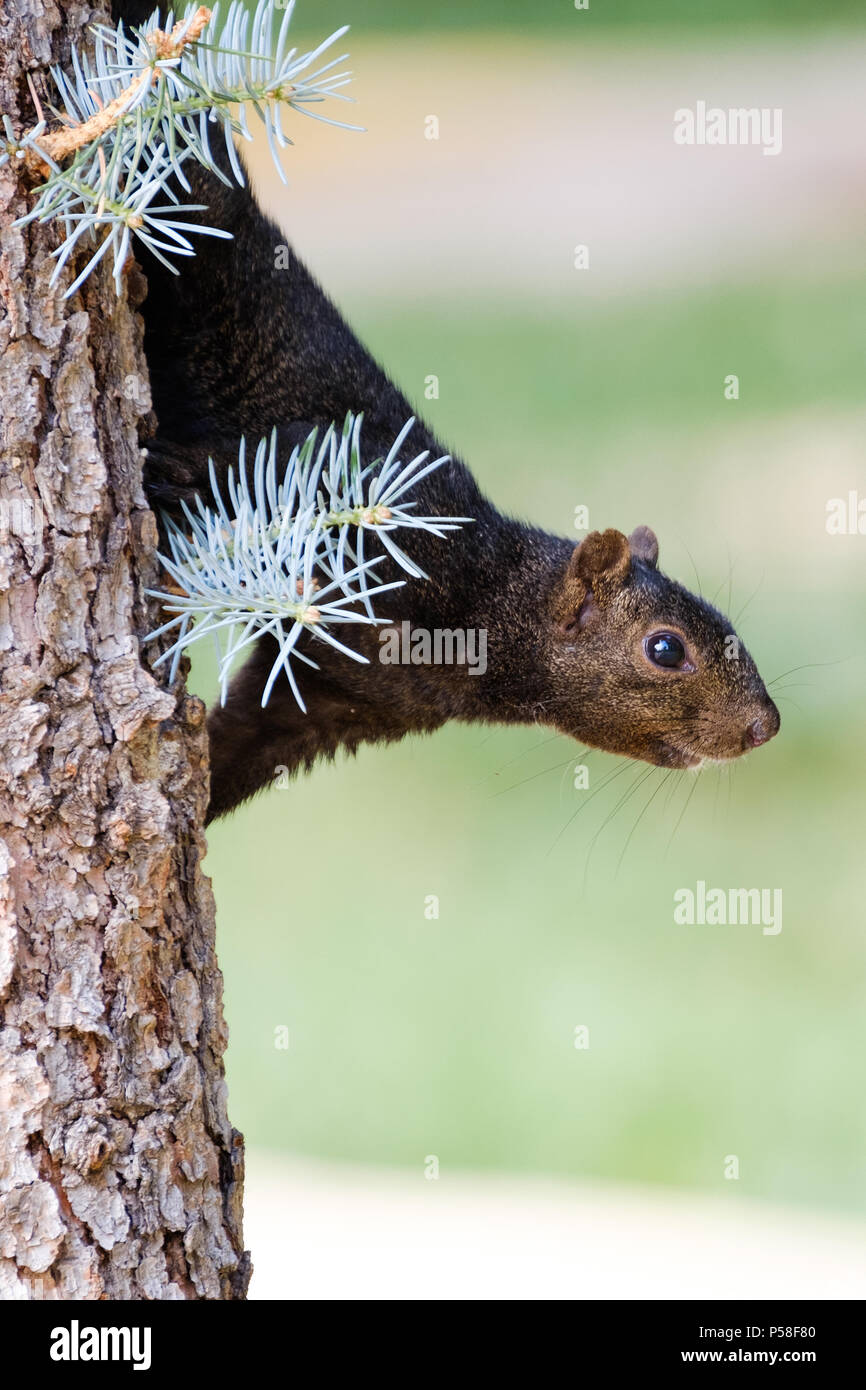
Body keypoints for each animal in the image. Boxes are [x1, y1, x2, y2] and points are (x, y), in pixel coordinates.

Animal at [111, 2, 779, 823]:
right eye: (665, 648)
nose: (766, 726)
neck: (486, 597)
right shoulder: (371, 508)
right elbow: (263, 468)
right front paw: (173, 474)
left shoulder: (341, 695)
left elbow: (246, 743)